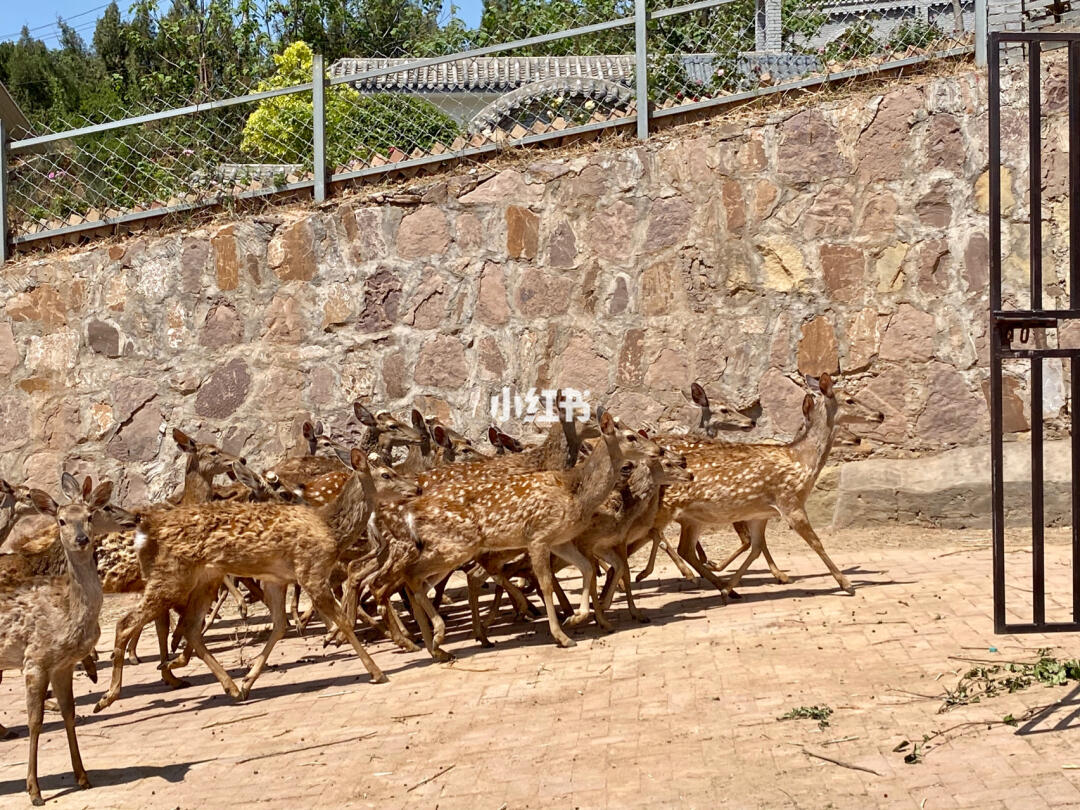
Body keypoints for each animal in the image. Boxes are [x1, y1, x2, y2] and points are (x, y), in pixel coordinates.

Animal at [0, 475, 110, 807]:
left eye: (89, 516)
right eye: (61, 520)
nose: (81, 539)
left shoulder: (62, 665)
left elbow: (69, 713)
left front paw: (83, 777)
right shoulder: (34, 659)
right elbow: (35, 722)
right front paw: (35, 792)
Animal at [92, 444, 388, 717]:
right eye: (285, 493)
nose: (414, 487)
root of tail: (145, 532)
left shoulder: (276, 577)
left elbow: (280, 622)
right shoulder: (301, 572)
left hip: (198, 581)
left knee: (186, 626)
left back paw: (225, 685)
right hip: (171, 579)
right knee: (129, 622)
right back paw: (109, 694)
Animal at [652, 373, 881, 596]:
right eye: (850, 400)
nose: (880, 415)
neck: (802, 462)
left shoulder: (760, 513)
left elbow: (756, 548)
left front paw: (730, 587)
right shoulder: (790, 501)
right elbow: (816, 542)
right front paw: (847, 584)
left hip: (692, 518)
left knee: (685, 548)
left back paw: (720, 585)